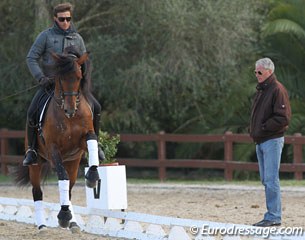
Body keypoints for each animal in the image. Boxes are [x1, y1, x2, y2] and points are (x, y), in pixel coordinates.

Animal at [14, 49, 99, 232]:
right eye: (60, 78)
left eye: (79, 77)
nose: (70, 109)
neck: (69, 118)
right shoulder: (53, 149)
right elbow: (62, 177)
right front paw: (64, 216)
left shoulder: (82, 140)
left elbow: (92, 140)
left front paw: (93, 176)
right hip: (37, 163)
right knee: (38, 191)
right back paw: (42, 226)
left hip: (72, 161)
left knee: (70, 188)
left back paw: (73, 223)